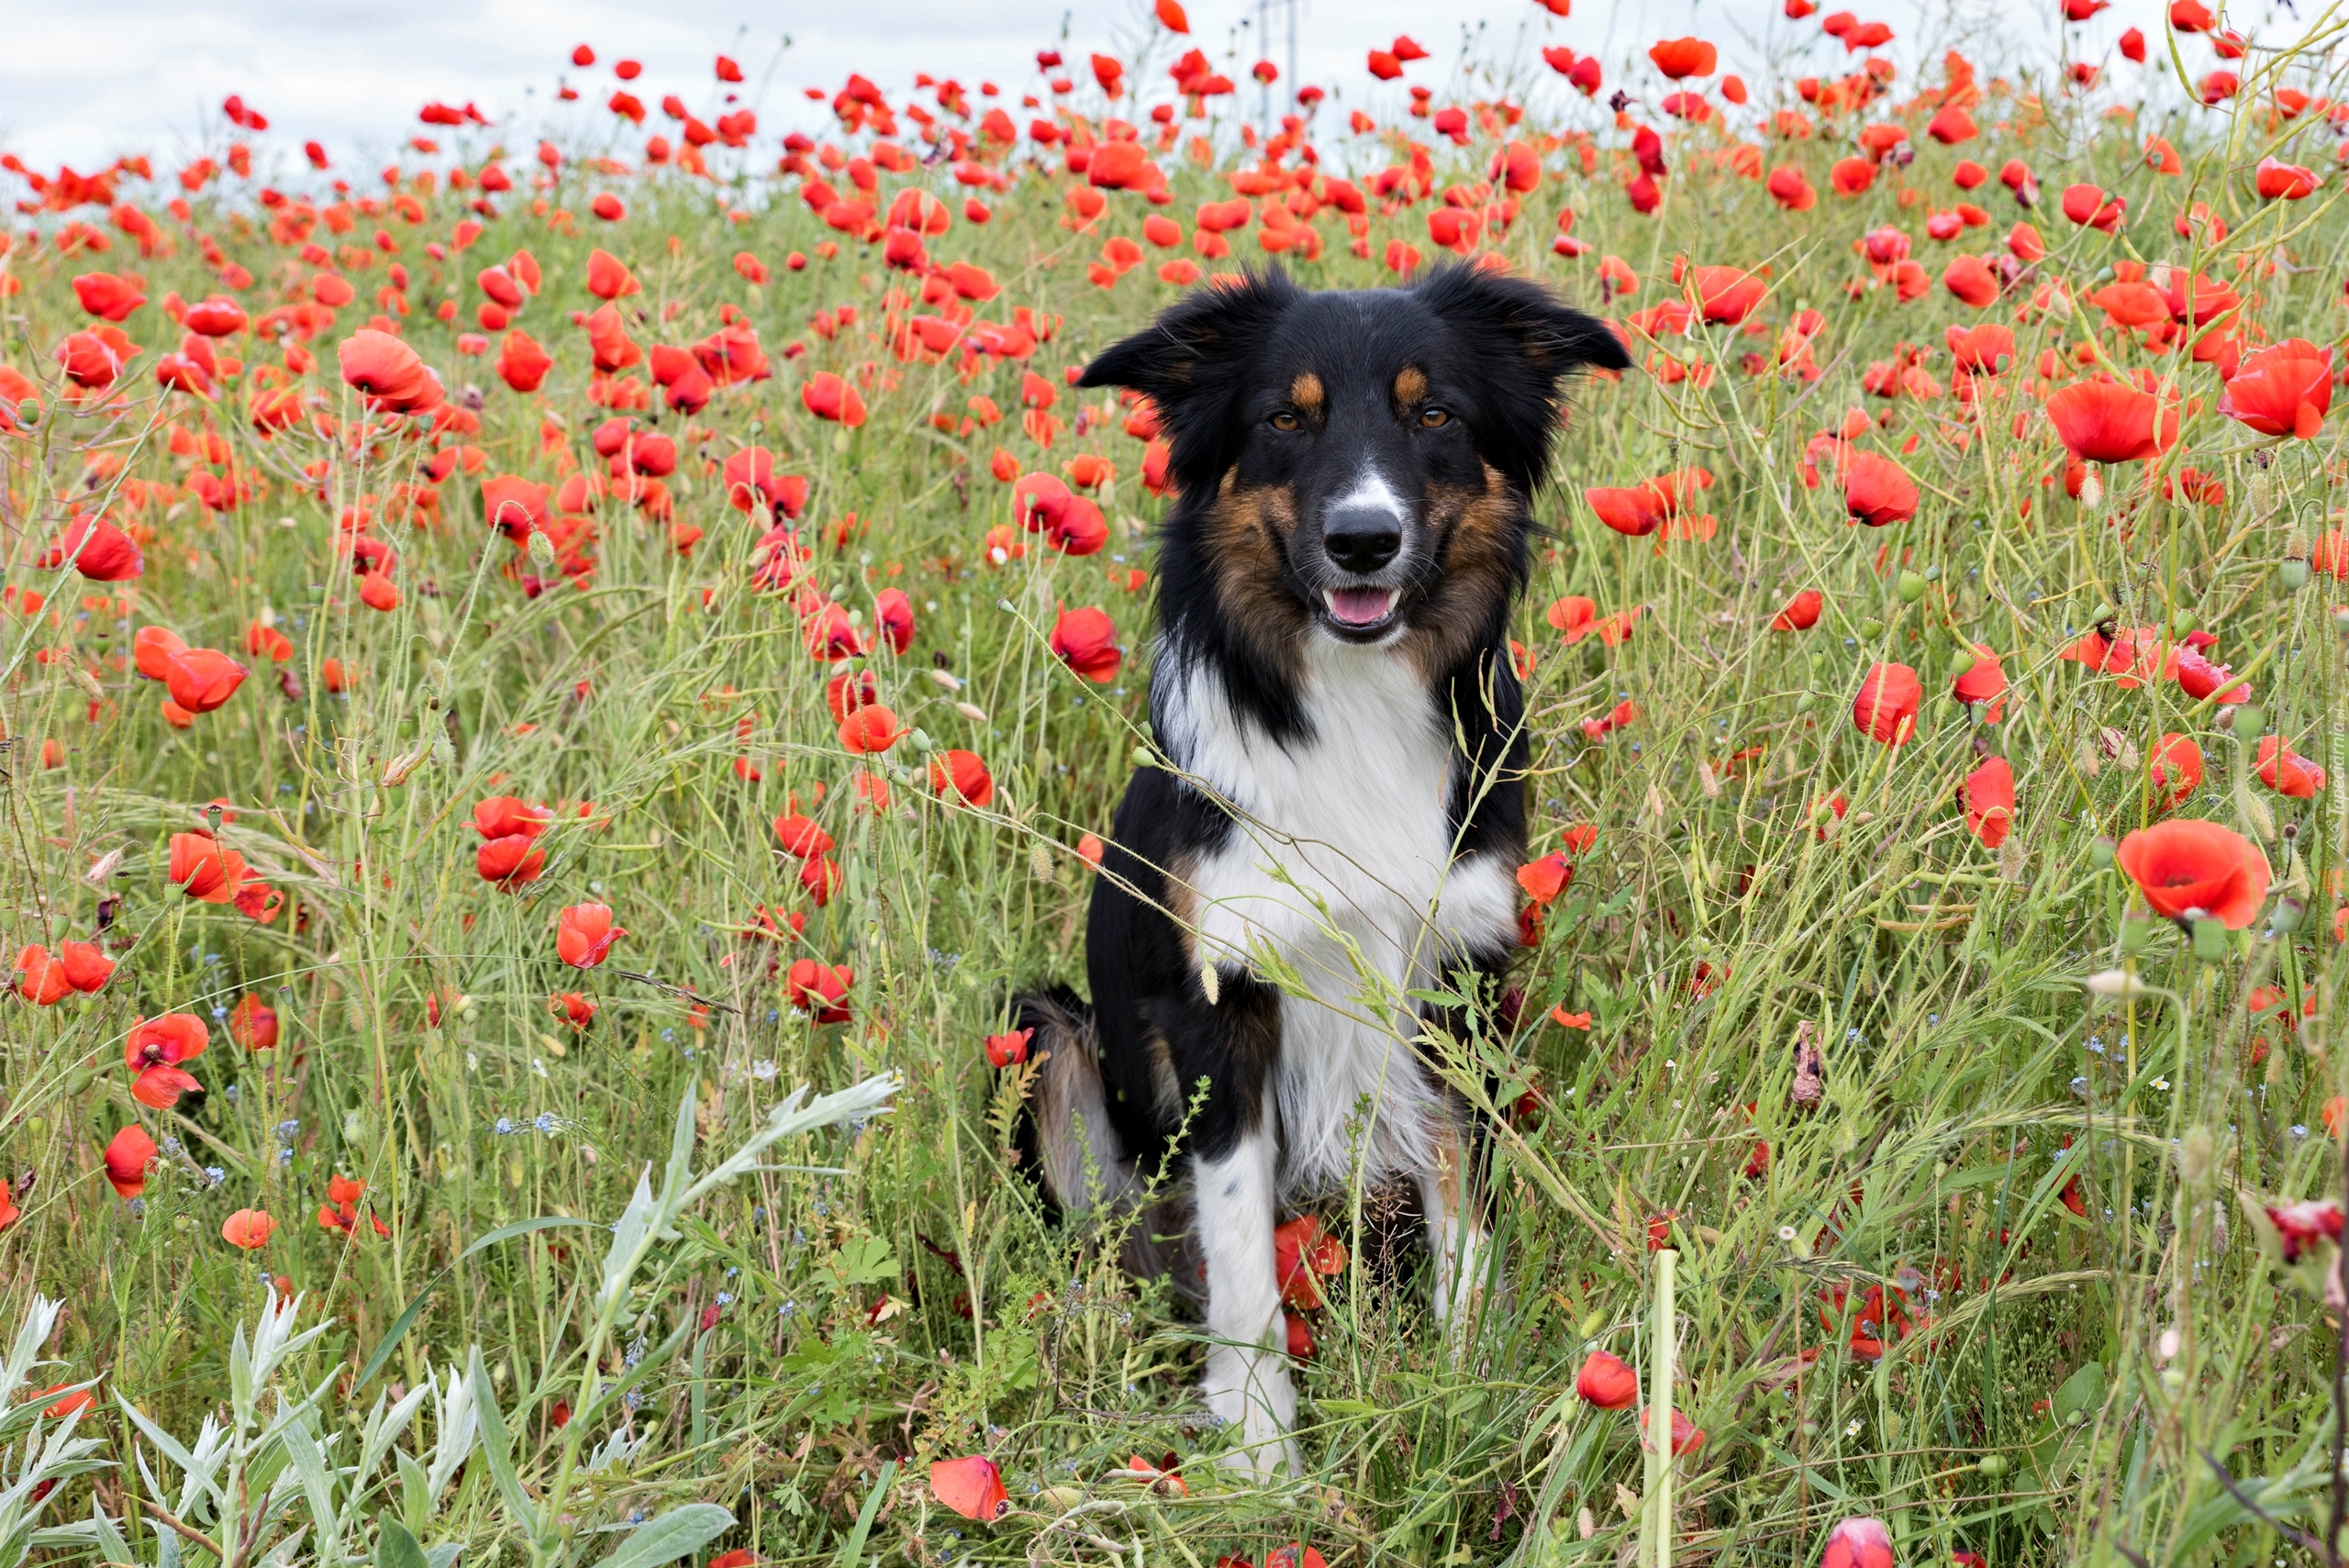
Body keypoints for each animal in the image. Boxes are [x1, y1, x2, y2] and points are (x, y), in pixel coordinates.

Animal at [1019, 262, 1625, 1473]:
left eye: (1433, 414)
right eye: (1284, 421)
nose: (1362, 540)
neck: (1350, 699)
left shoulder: (1456, 981)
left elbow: (1465, 1219)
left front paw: (1466, 1385)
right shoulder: (1222, 1001)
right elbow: (1244, 1257)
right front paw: (1261, 1455)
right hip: (1053, 1035)